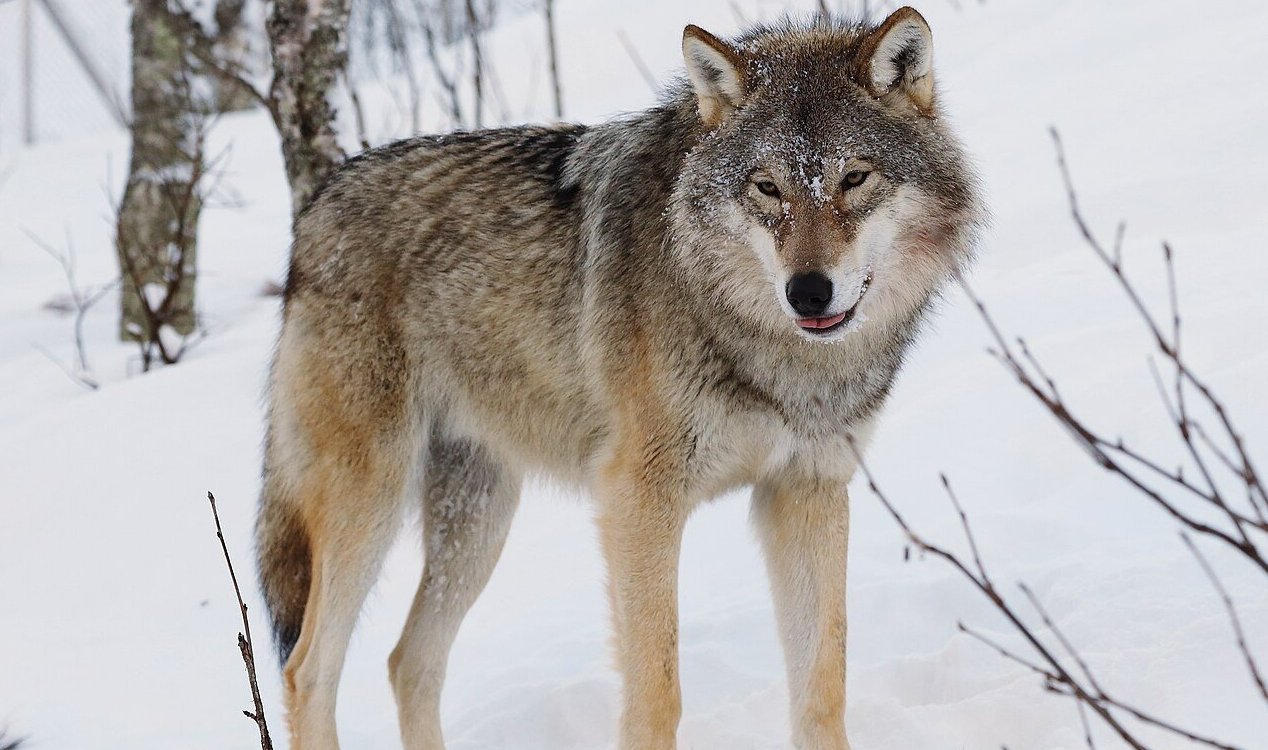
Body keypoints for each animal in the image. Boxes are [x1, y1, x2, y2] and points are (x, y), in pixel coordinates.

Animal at [257, 7, 983, 750]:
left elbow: (821, 686)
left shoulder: (807, 491)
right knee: (307, 671)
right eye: (767, 188)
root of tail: (315, 209)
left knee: (409, 662)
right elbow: (656, 693)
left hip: (478, 520)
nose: (808, 293)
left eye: (855, 179)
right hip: (370, 501)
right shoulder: (638, 499)